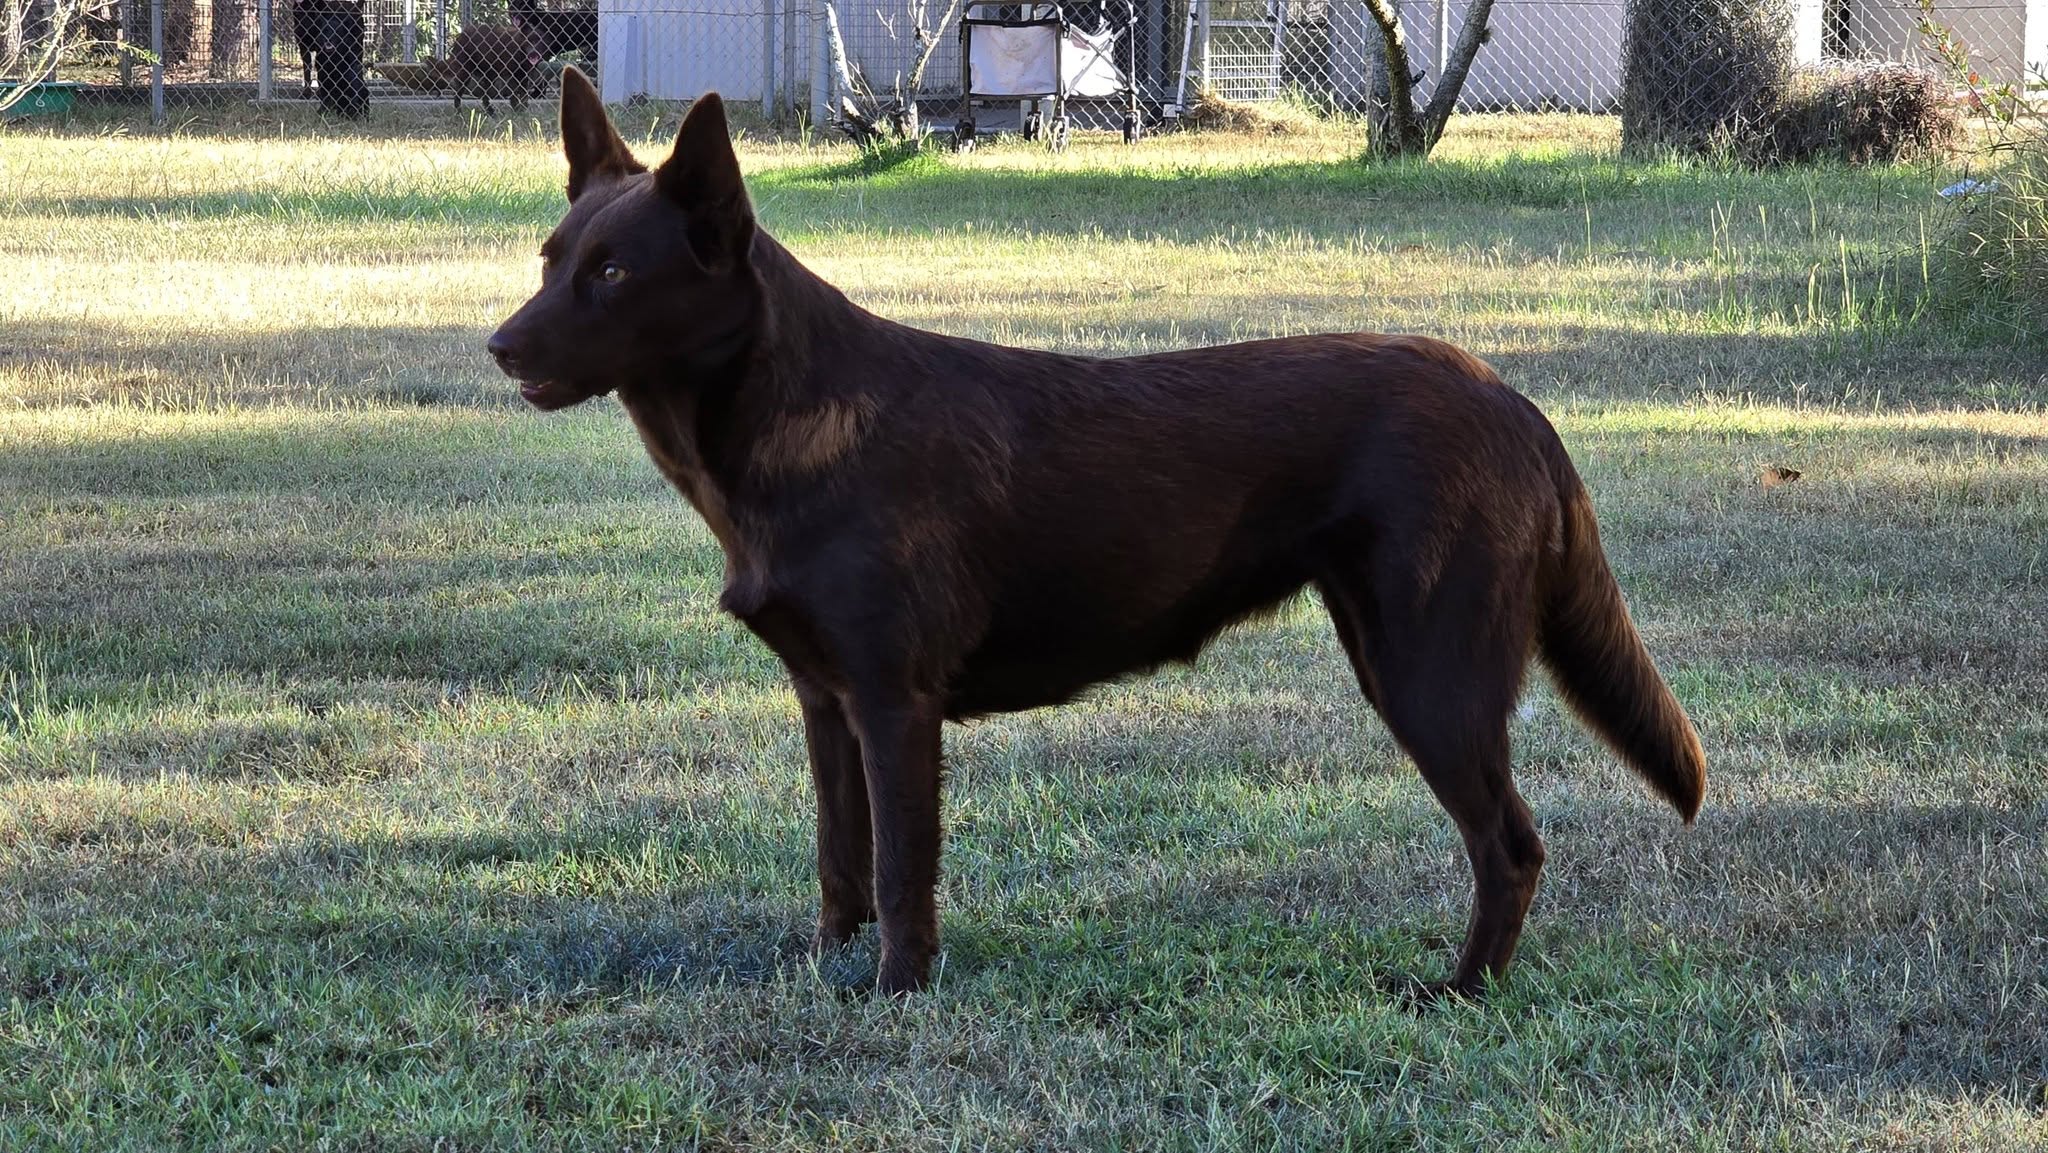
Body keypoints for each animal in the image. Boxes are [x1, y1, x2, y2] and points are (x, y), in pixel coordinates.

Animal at [487, 70, 1707, 999]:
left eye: (612, 273)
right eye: (550, 258)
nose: (497, 348)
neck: (788, 421)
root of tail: (1513, 402)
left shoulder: (895, 703)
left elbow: (900, 872)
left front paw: (895, 992)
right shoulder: (826, 702)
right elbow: (840, 861)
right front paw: (826, 971)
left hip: (1429, 676)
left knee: (1510, 845)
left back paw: (1460, 991)